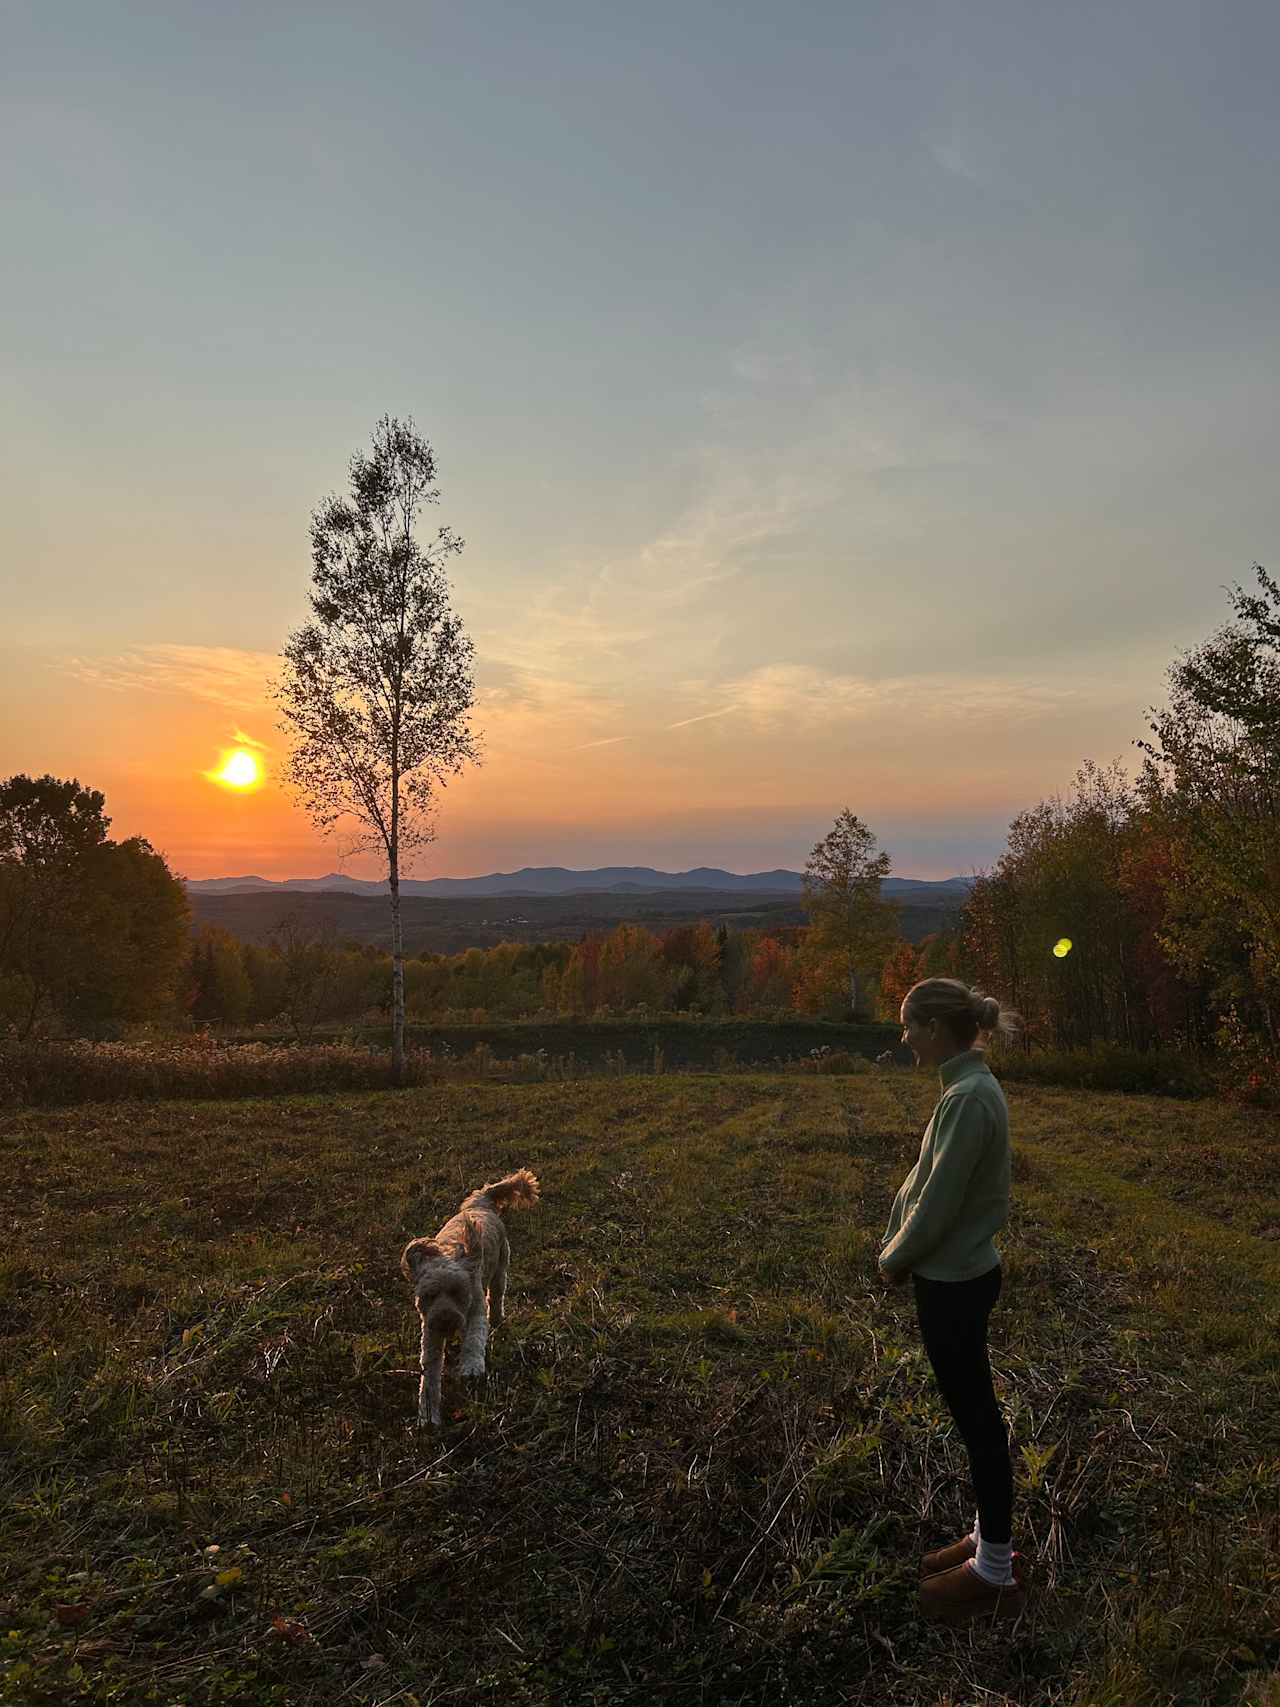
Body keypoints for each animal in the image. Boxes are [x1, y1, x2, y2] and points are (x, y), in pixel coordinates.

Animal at [401, 1174, 542, 1427]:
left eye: (458, 1292)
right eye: (428, 1296)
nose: (445, 1321)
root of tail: (481, 1202)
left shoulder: (475, 1308)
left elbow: (474, 1337)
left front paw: (471, 1367)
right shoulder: (430, 1330)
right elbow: (430, 1371)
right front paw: (427, 1413)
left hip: (500, 1268)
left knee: (496, 1296)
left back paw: (497, 1318)